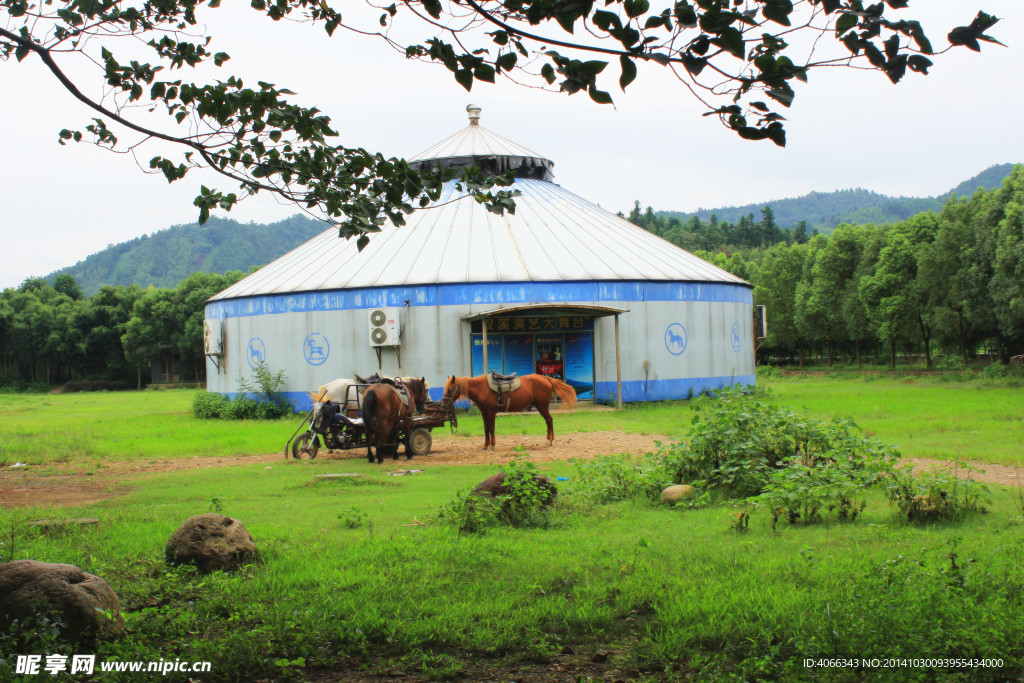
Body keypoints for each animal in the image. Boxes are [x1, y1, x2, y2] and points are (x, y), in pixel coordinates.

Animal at [444, 374, 581, 448]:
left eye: (450, 390)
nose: (445, 403)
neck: (481, 388)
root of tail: (546, 378)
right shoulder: (484, 412)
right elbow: (486, 429)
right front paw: (485, 445)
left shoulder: (491, 412)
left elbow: (492, 428)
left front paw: (492, 445)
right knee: (548, 421)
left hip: (542, 406)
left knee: (549, 420)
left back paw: (549, 440)